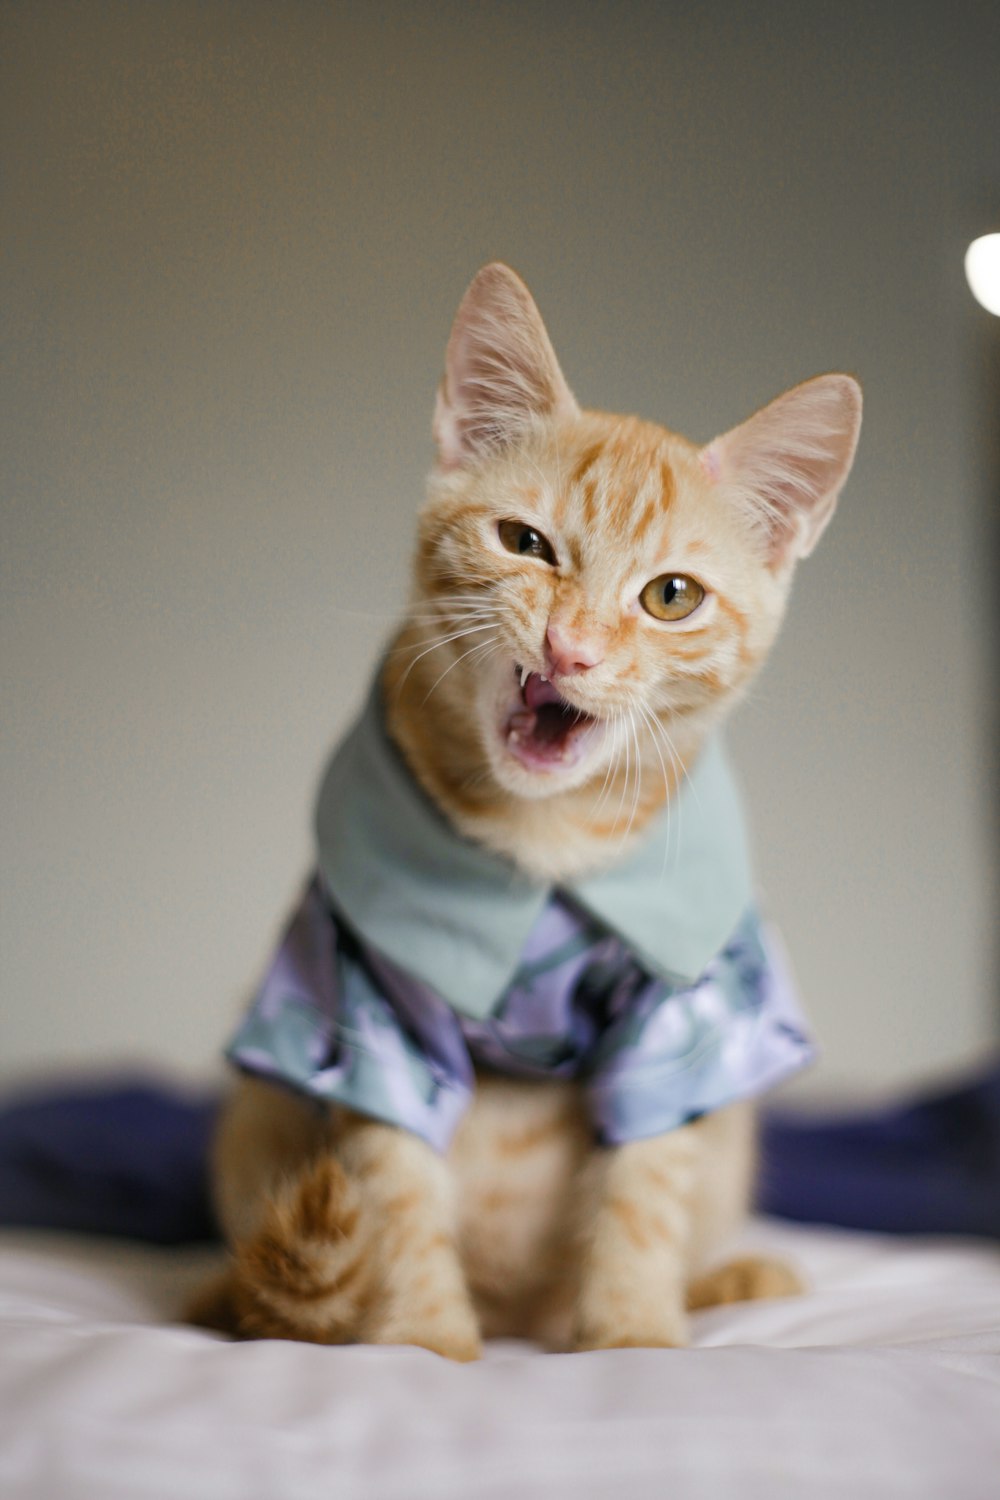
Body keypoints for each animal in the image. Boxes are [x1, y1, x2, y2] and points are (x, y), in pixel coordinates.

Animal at [187, 261, 863, 1362]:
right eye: (524, 542)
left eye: (671, 596)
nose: (570, 649)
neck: (540, 839)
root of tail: (520, 1314)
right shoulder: (369, 1004)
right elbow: (394, 1183)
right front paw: (421, 1341)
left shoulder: (679, 1015)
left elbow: (644, 1187)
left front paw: (631, 1335)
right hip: (254, 1124)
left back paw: (723, 1279)